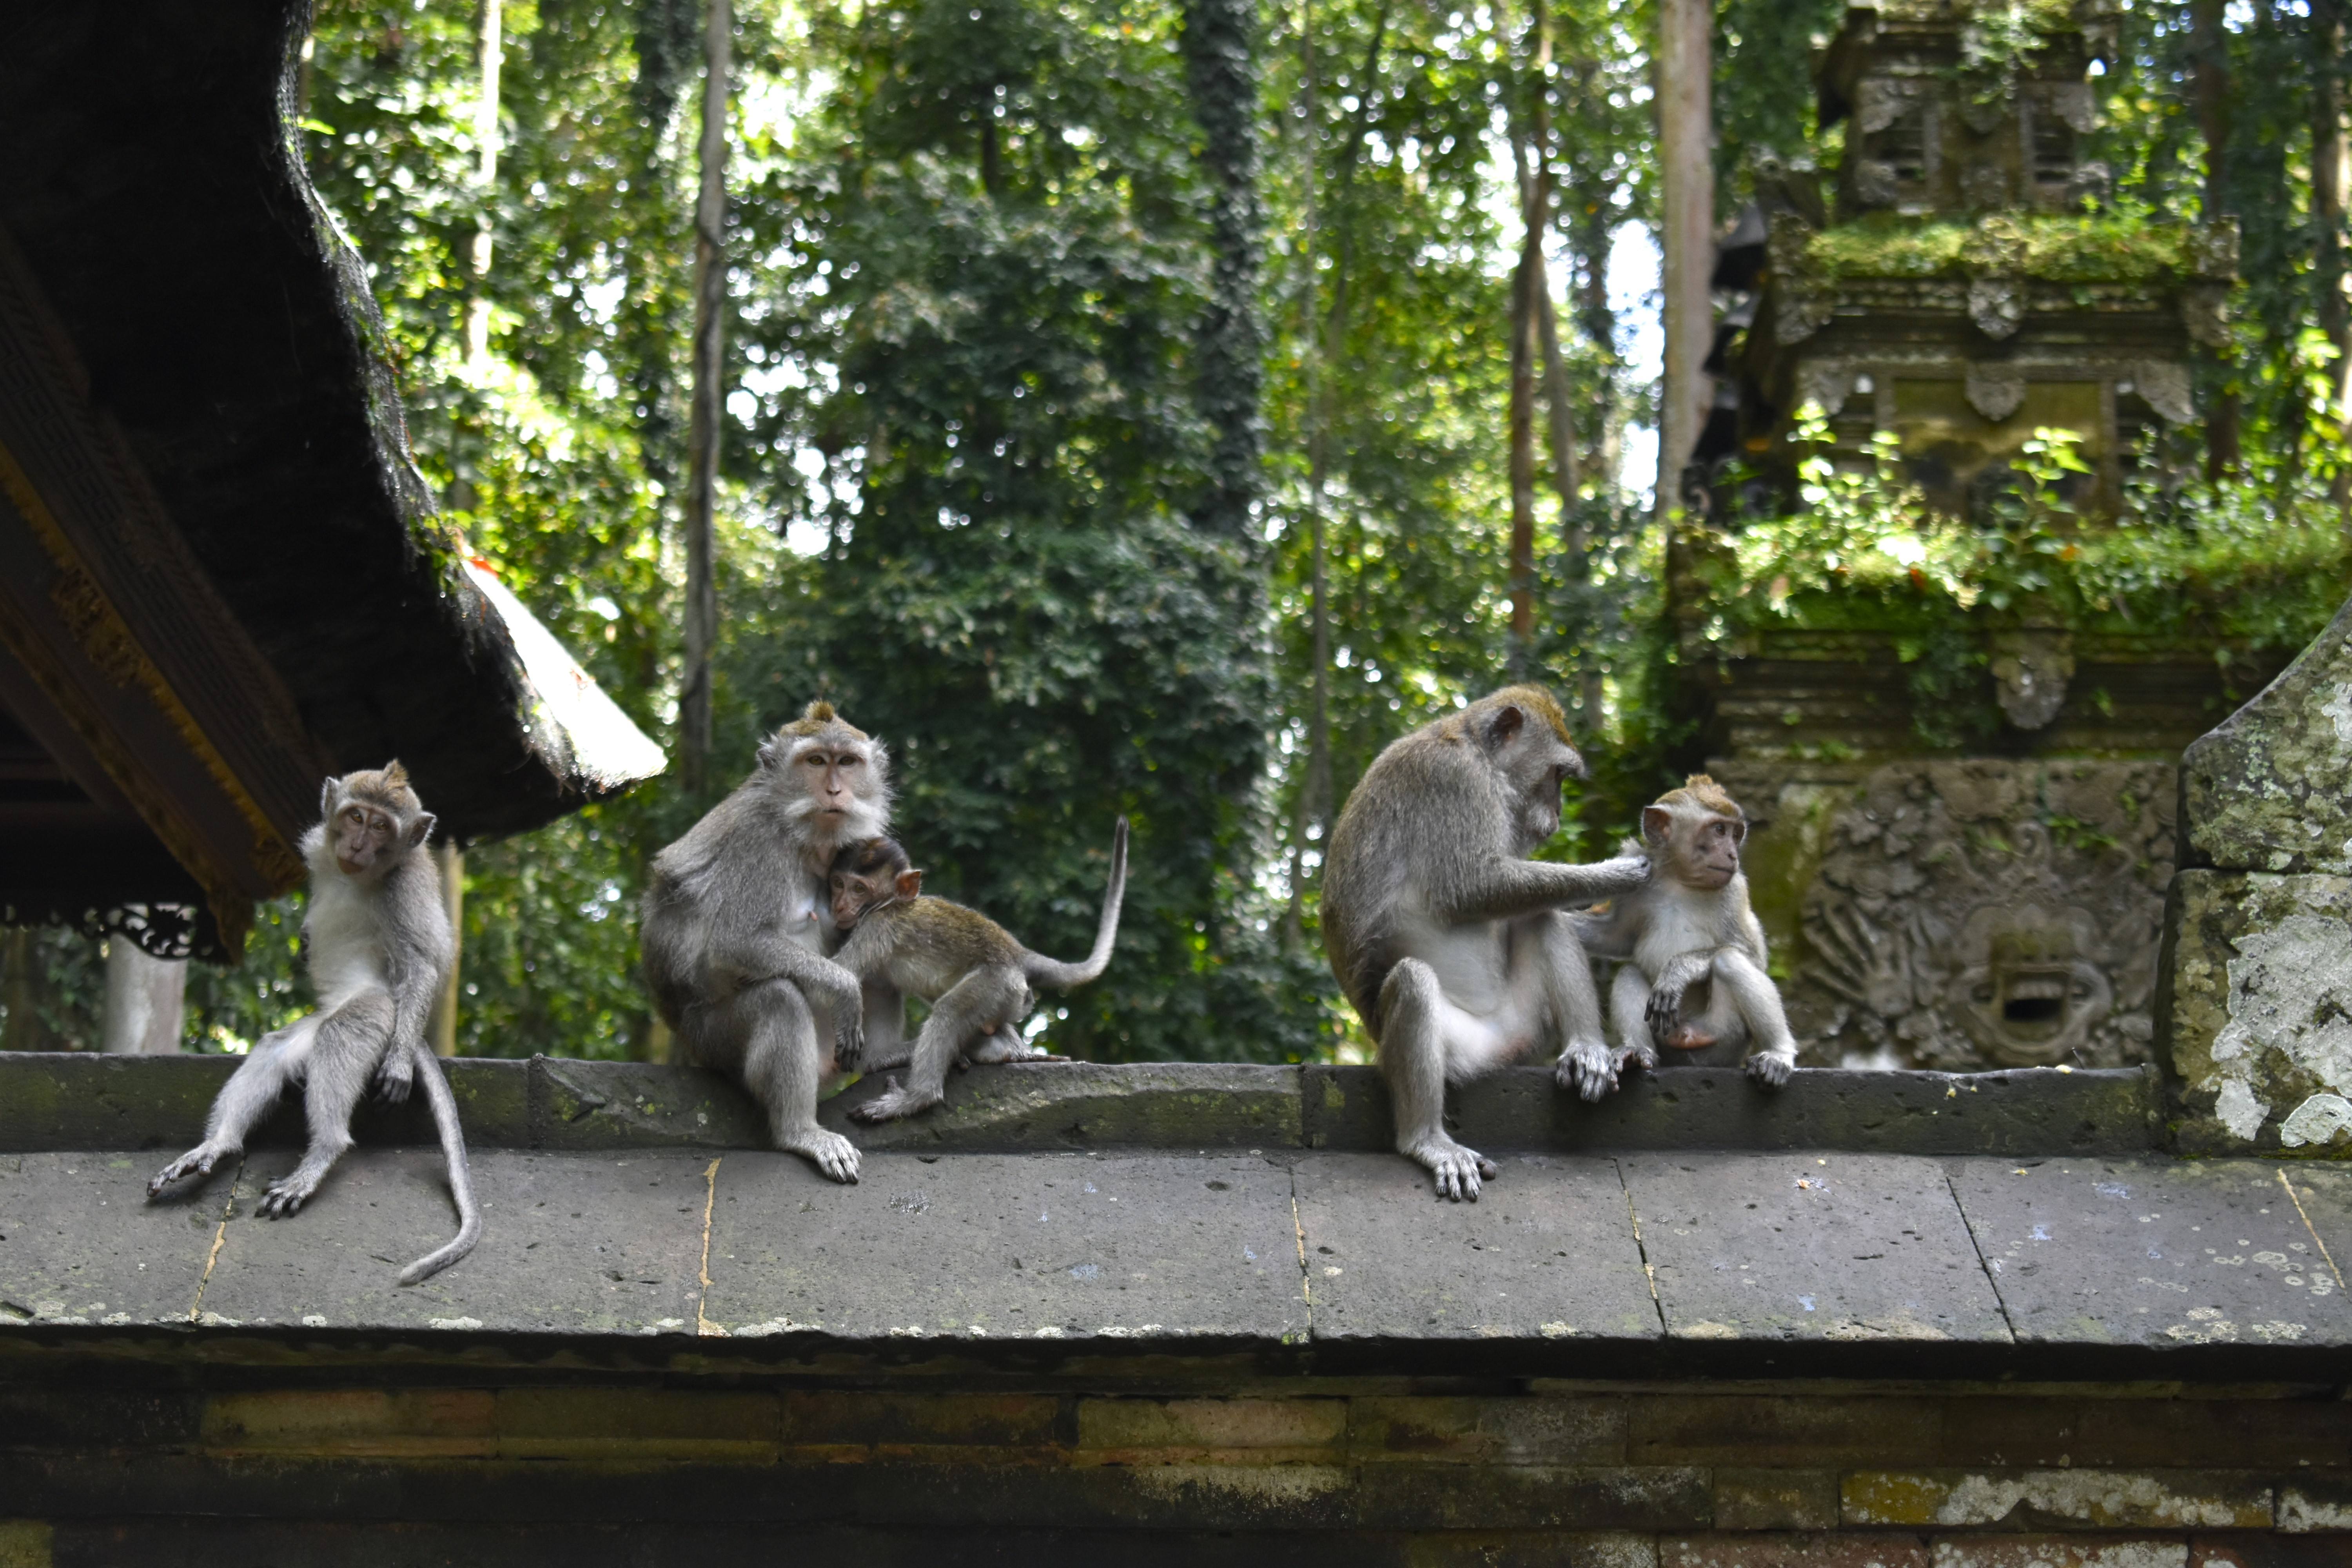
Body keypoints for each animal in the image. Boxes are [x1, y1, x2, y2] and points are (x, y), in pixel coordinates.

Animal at [146, 762, 477, 1288]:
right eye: (356, 816)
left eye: (381, 826)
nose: (358, 844)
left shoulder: (404, 885)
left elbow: (422, 966)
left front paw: (399, 1065)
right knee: (277, 1049)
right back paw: (216, 1145)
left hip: (380, 1011)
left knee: (341, 1036)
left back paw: (321, 1154)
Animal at [644, 705, 889, 1185]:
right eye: (816, 762)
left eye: (847, 762)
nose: (835, 790)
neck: (798, 832)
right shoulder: (759, 845)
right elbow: (736, 941)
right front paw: (845, 989)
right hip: (712, 1040)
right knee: (779, 998)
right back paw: (799, 1131)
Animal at [823, 827, 1124, 1123]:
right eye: (838, 884)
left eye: (859, 889)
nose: (840, 906)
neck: (888, 904)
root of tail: (1018, 954)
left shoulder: (877, 927)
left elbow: (844, 972)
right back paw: (1008, 1052)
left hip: (997, 984)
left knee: (949, 1011)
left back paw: (916, 1098)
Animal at [1327, 682, 1656, 1203]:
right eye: (1557, 774)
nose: (1558, 814)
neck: (1476, 751)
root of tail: (1501, 1045)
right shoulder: (1454, 781)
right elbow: (1474, 887)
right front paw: (1618, 874)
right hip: (1461, 1049)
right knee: (1414, 982)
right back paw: (1427, 1141)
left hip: (1525, 1023)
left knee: (1542, 918)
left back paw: (1585, 1048)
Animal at [1571, 776, 1806, 1091]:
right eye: (1720, 830)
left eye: (1736, 834)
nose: (1732, 855)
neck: (1680, 881)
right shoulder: (1636, 886)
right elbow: (1616, 937)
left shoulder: (1736, 891)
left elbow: (1753, 957)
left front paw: (1679, 970)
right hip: (1667, 1042)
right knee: (1630, 972)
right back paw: (1638, 1051)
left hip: (1725, 1038)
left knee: (1730, 960)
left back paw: (1778, 1054)